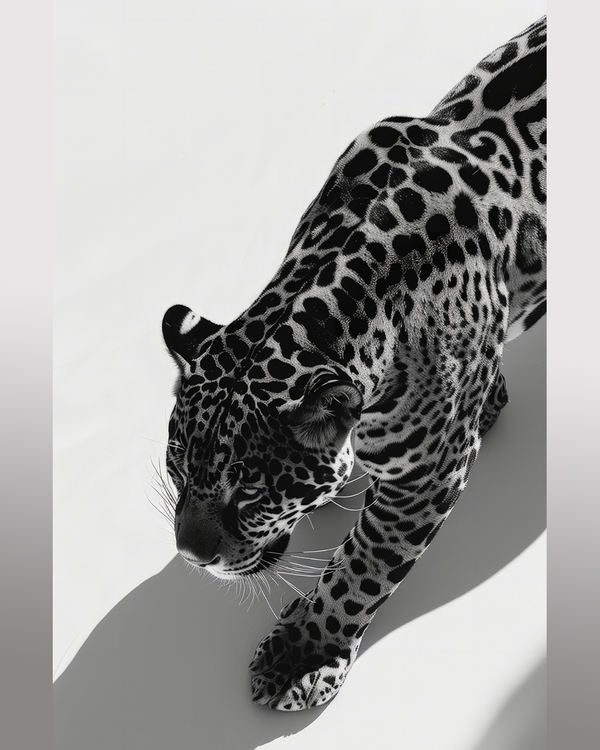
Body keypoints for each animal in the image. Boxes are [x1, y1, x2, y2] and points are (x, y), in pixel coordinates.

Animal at [160, 17, 546, 711]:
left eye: (249, 492)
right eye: (178, 469)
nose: (190, 556)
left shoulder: (428, 474)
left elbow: (362, 569)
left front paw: (302, 656)